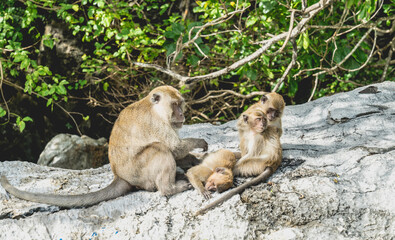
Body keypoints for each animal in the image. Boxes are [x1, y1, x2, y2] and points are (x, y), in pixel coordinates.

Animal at [0, 85, 210, 207]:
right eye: (174, 105)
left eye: (181, 104)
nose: (181, 115)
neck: (154, 108)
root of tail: (120, 176)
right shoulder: (157, 122)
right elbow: (174, 148)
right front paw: (200, 144)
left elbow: (179, 152)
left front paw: (195, 160)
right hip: (139, 173)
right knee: (159, 148)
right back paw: (170, 188)